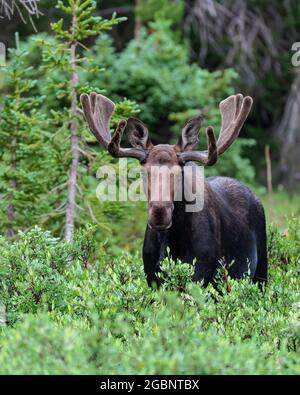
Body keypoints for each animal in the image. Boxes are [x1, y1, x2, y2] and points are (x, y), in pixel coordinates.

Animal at [79, 93, 268, 290]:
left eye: (180, 173)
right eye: (144, 172)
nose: (159, 212)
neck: (172, 244)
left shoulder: (201, 274)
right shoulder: (152, 277)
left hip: (261, 272)